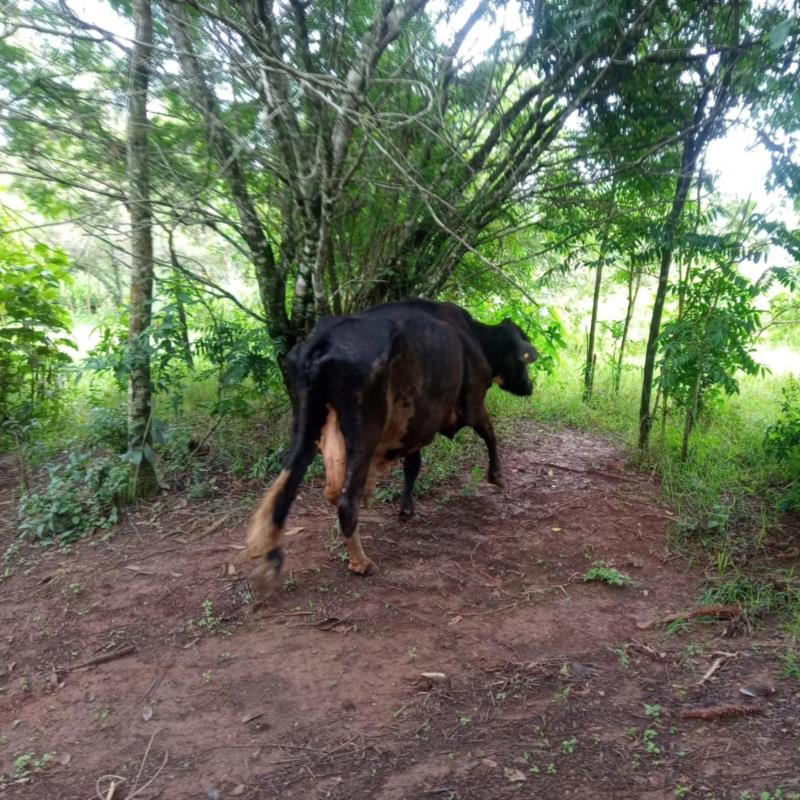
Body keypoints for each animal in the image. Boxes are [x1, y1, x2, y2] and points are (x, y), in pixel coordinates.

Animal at [244, 296, 536, 596]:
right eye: (525, 357)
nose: (530, 385)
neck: (476, 337)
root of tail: (323, 338)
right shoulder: (472, 402)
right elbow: (490, 434)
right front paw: (497, 476)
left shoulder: (416, 424)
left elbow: (413, 465)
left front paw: (406, 510)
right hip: (366, 426)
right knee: (346, 499)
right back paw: (361, 563)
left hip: (307, 420)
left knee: (285, 488)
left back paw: (272, 560)